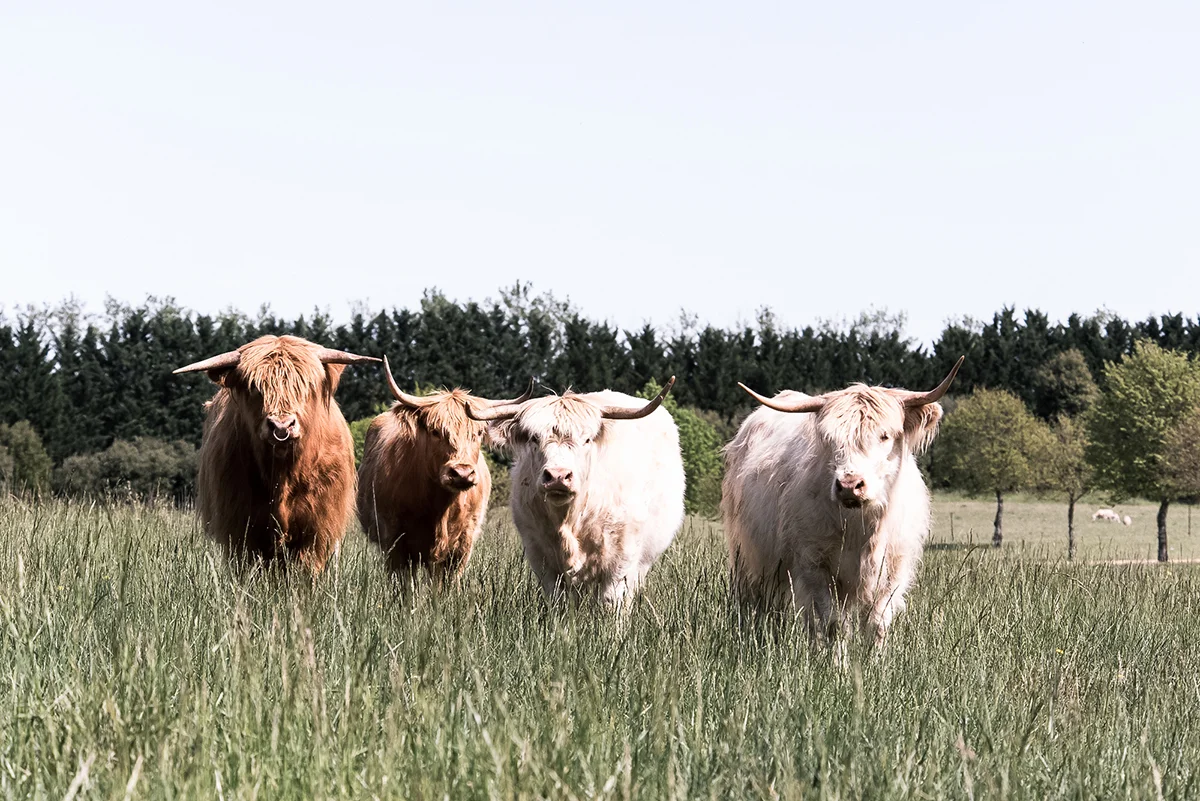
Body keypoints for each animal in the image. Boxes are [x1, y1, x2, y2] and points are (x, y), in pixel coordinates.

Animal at [174, 335, 379, 573]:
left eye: (306, 385)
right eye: (255, 388)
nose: (281, 426)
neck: (283, 475)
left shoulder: (317, 527)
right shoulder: (240, 527)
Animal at [357, 358, 533, 577]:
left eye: (478, 433)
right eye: (435, 431)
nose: (462, 473)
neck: (439, 506)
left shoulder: (462, 544)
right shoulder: (394, 542)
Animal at [467, 379, 685, 608]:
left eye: (587, 440)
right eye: (534, 438)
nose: (558, 476)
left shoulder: (621, 561)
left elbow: (611, 601)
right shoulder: (540, 557)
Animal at [723, 358, 963, 646]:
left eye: (884, 435)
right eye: (829, 438)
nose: (849, 485)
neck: (861, 527)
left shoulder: (893, 570)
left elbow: (876, 624)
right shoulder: (813, 565)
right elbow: (833, 624)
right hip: (749, 555)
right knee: (757, 602)